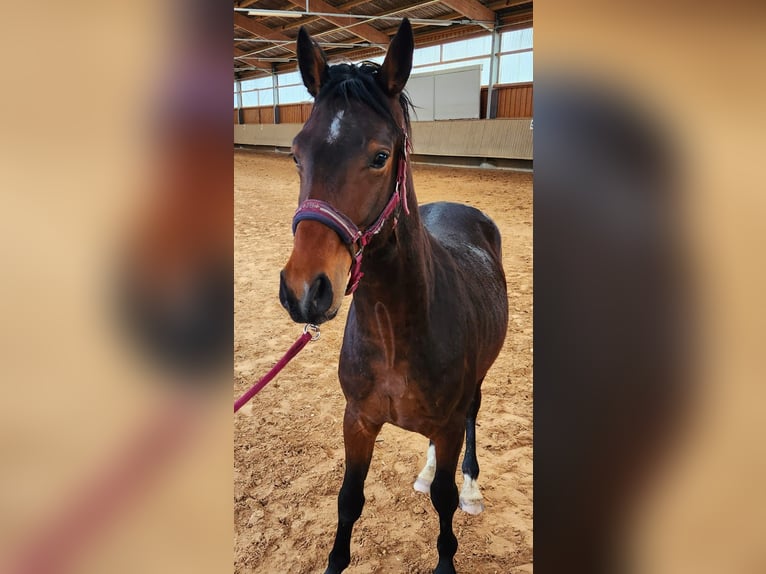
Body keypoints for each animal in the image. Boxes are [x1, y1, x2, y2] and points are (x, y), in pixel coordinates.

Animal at [278, 18, 510, 574]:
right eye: (296, 153)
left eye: (380, 157)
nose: (304, 291)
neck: (393, 328)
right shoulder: (358, 421)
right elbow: (348, 500)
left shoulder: (447, 426)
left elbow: (445, 502)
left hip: (475, 388)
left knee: (472, 418)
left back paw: (472, 487)